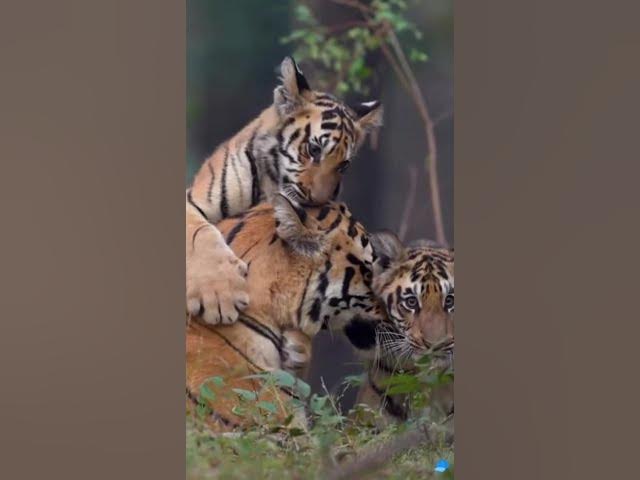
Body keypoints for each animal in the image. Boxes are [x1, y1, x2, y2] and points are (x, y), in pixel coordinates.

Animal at [186, 56, 383, 327]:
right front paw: (219, 296)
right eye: (314, 149)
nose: (319, 200)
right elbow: (200, 233)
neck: (271, 185)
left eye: (344, 165)